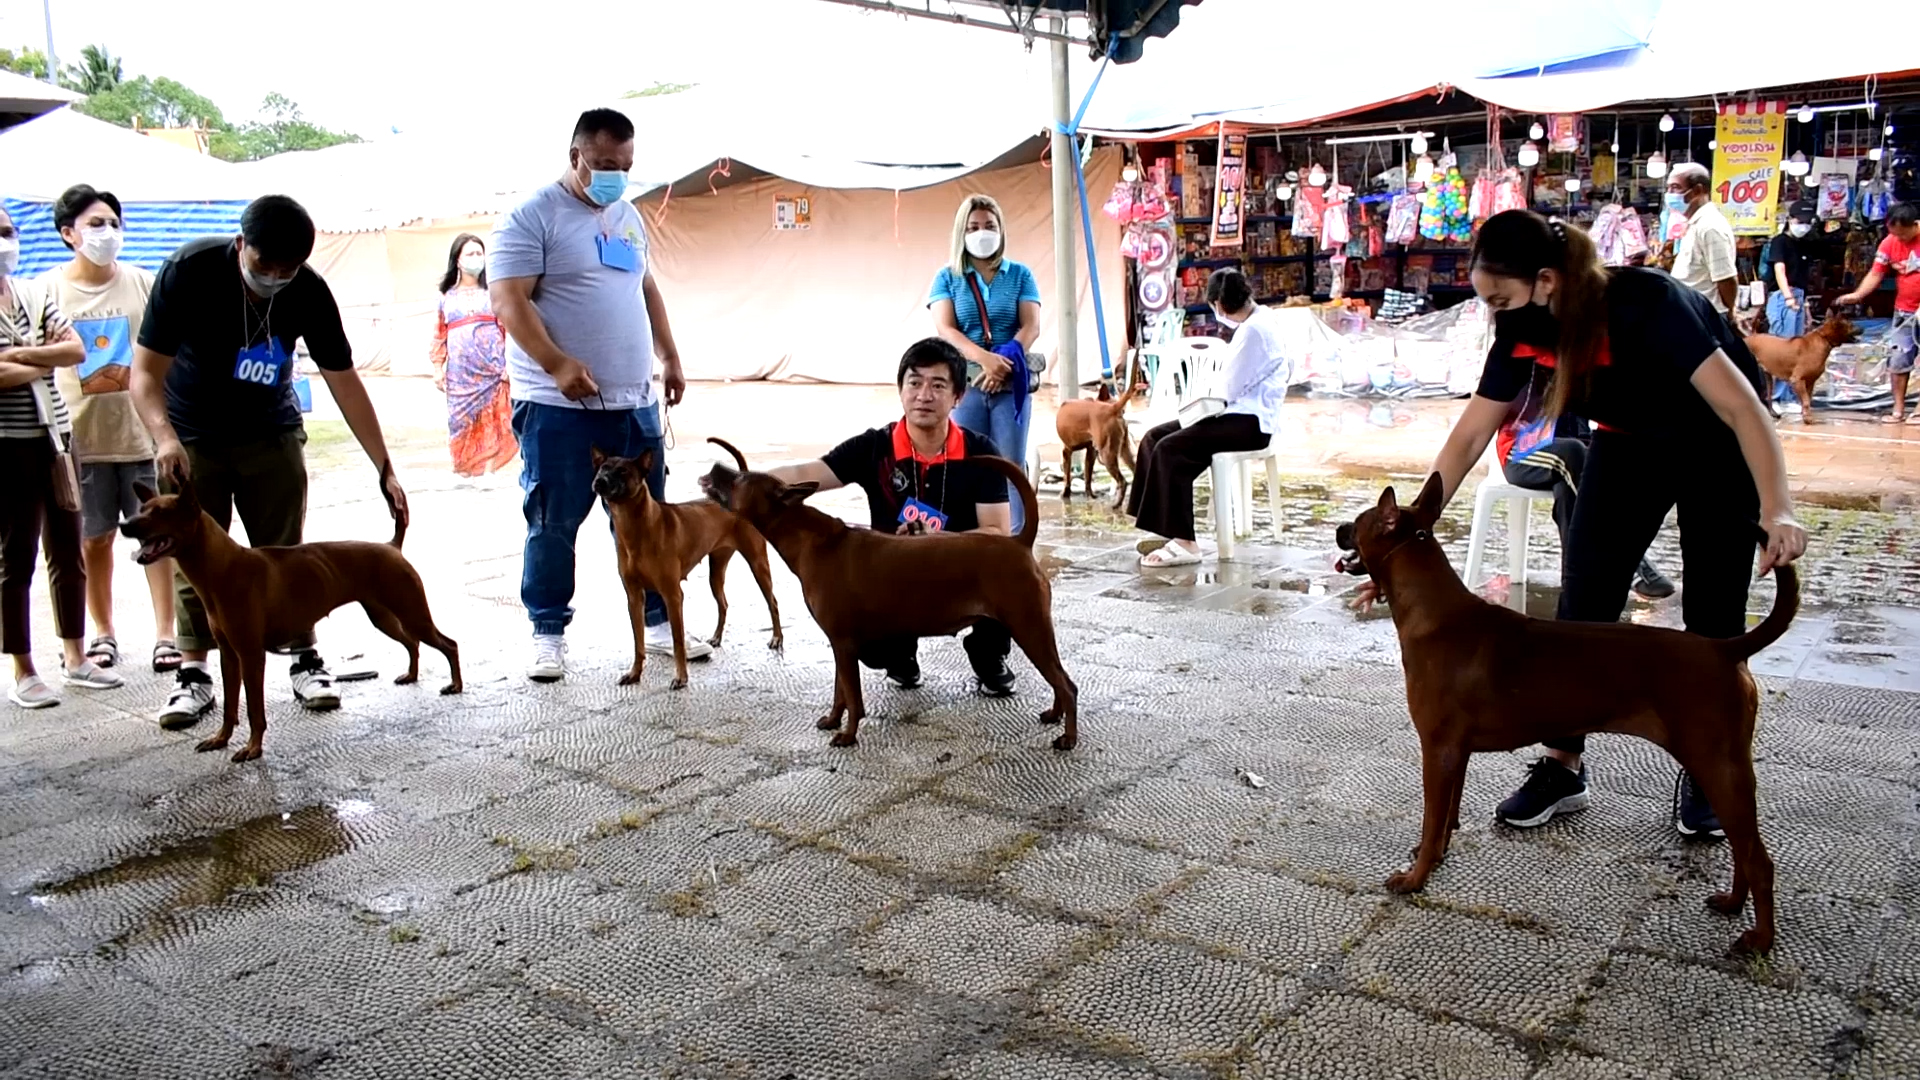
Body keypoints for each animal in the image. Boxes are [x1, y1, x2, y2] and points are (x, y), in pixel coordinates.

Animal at [121, 478, 462, 757]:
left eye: (161, 512)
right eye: (143, 509)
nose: (125, 525)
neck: (222, 567)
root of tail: (392, 545)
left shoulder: (251, 655)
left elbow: (254, 710)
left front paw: (253, 748)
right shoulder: (229, 656)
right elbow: (230, 705)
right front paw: (220, 738)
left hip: (412, 612)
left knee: (448, 644)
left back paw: (455, 685)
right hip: (384, 617)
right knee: (413, 642)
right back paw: (412, 674)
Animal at [591, 432, 787, 684]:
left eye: (623, 471)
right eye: (602, 468)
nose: (599, 481)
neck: (637, 527)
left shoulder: (673, 595)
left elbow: (677, 641)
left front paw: (681, 677)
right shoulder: (634, 596)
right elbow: (638, 641)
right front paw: (635, 673)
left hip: (758, 564)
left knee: (772, 601)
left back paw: (777, 638)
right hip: (716, 570)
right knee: (723, 603)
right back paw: (716, 638)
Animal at [698, 438, 1082, 749]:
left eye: (741, 478)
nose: (715, 466)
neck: (808, 538)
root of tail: (1019, 542)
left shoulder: (843, 642)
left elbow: (853, 696)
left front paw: (848, 735)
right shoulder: (839, 644)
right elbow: (840, 691)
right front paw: (832, 721)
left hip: (1028, 627)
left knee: (1066, 684)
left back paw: (1068, 738)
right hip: (1033, 630)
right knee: (1058, 680)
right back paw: (1054, 716)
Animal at [1059, 376, 1144, 507]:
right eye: (1124, 411)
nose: (1122, 414)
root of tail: (1112, 409)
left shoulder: (1066, 450)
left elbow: (1067, 476)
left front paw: (1065, 494)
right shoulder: (1091, 452)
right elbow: (1088, 476)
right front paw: (1091, 496)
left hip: (1107, 455)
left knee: (1123, 481)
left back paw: (1116, 504)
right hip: (1125, 453)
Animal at [1336, 472, 1797, 949]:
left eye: (1358, 523)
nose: (1338, 529)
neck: (1435, 611)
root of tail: (1725, 649)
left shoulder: (1437, 750)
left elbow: (1431, 822)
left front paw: (1416, 878)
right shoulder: (1456, 753)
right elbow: (1447, 818)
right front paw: (1439, 856)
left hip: (1716, 765)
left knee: (1758, 858)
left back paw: (1760, 939)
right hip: (1722, 768)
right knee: (1743, 850)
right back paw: (1732, 902)